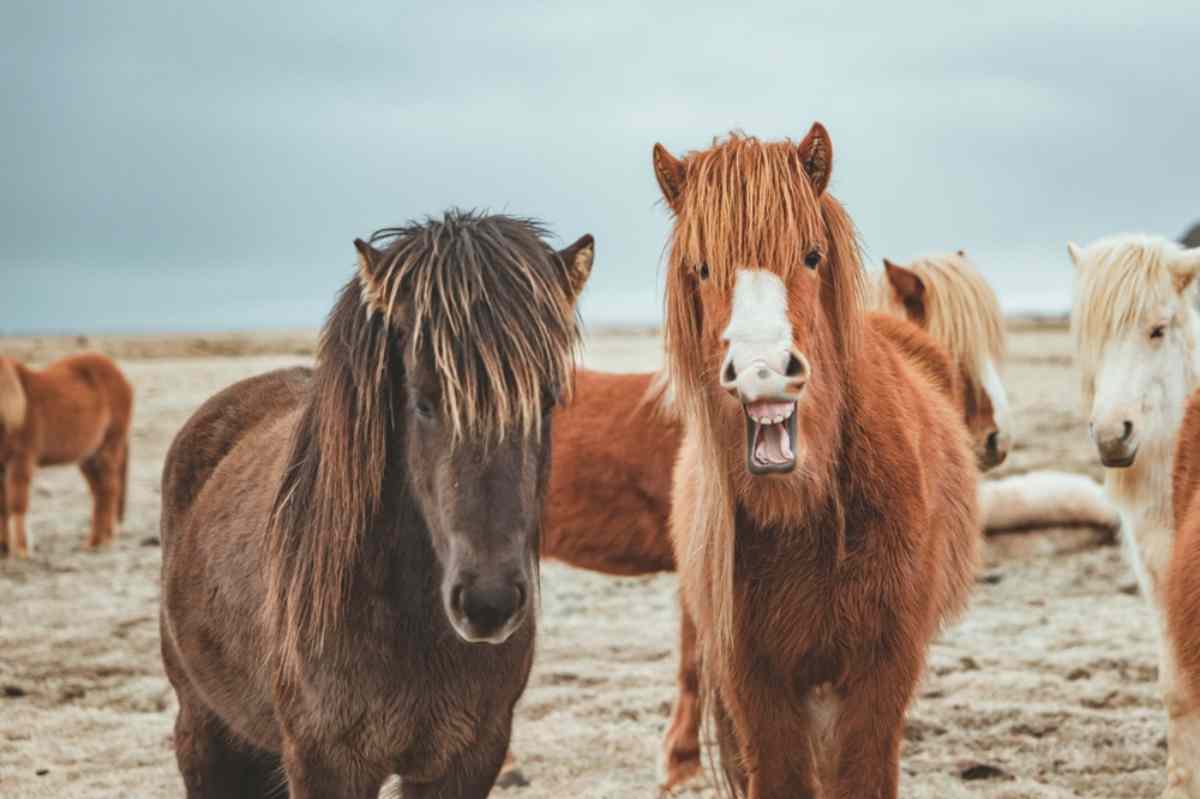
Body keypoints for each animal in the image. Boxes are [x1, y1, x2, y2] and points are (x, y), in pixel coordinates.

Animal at [0, 353, 132, 558]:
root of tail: (119, 374)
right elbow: (2, 508)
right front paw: (4, 549)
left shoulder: (20, 460)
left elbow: (17, 504)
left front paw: (21, 550)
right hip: (88, 457)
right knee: (99, 492)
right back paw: (101, 539)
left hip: (109, 446)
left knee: (109, 490)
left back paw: (99, 542)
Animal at [158, 211, 594, 799]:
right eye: (423, 401)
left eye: (546, 401)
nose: (489, 603)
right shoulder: (325, 761)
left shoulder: (468, 759)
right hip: (203, 729)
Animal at [651, 126, 978, 797]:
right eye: (701, 268)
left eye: (811, 255)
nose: (763, 372)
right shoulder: (755, 682)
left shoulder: (881, 668)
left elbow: (861, 775)